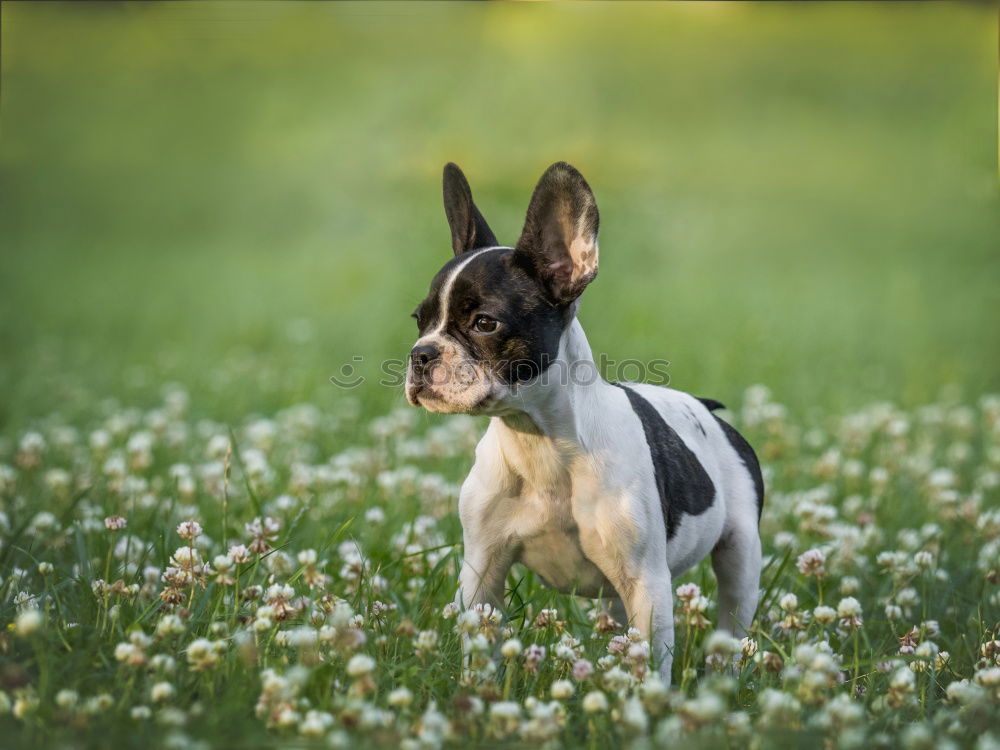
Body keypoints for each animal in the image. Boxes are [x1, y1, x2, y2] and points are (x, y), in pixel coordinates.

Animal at [402, 164, 760, 688]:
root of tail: (708, 411)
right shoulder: (482, 572)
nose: (420, 354)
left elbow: (651, 666)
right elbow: (479, 648)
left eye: (485, 323)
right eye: (419, 321)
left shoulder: (647, 583)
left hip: (740, 556)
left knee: (732, 625)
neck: (539, 442)